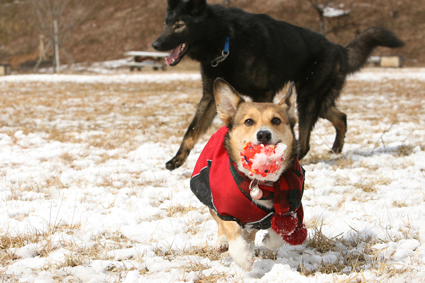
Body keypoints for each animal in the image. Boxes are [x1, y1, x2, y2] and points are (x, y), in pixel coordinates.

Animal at [152, 0, 400, 171]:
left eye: (179, 25)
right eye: (165, 24)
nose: (155, 44)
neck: (226, 40)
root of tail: (338, 48)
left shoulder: (263, 93)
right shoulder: (211, 97)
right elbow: (191, 131)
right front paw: (177, 159)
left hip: (307, 99)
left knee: (305, 140)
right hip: (318, 100)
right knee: (341, 117)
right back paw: (336, 149)